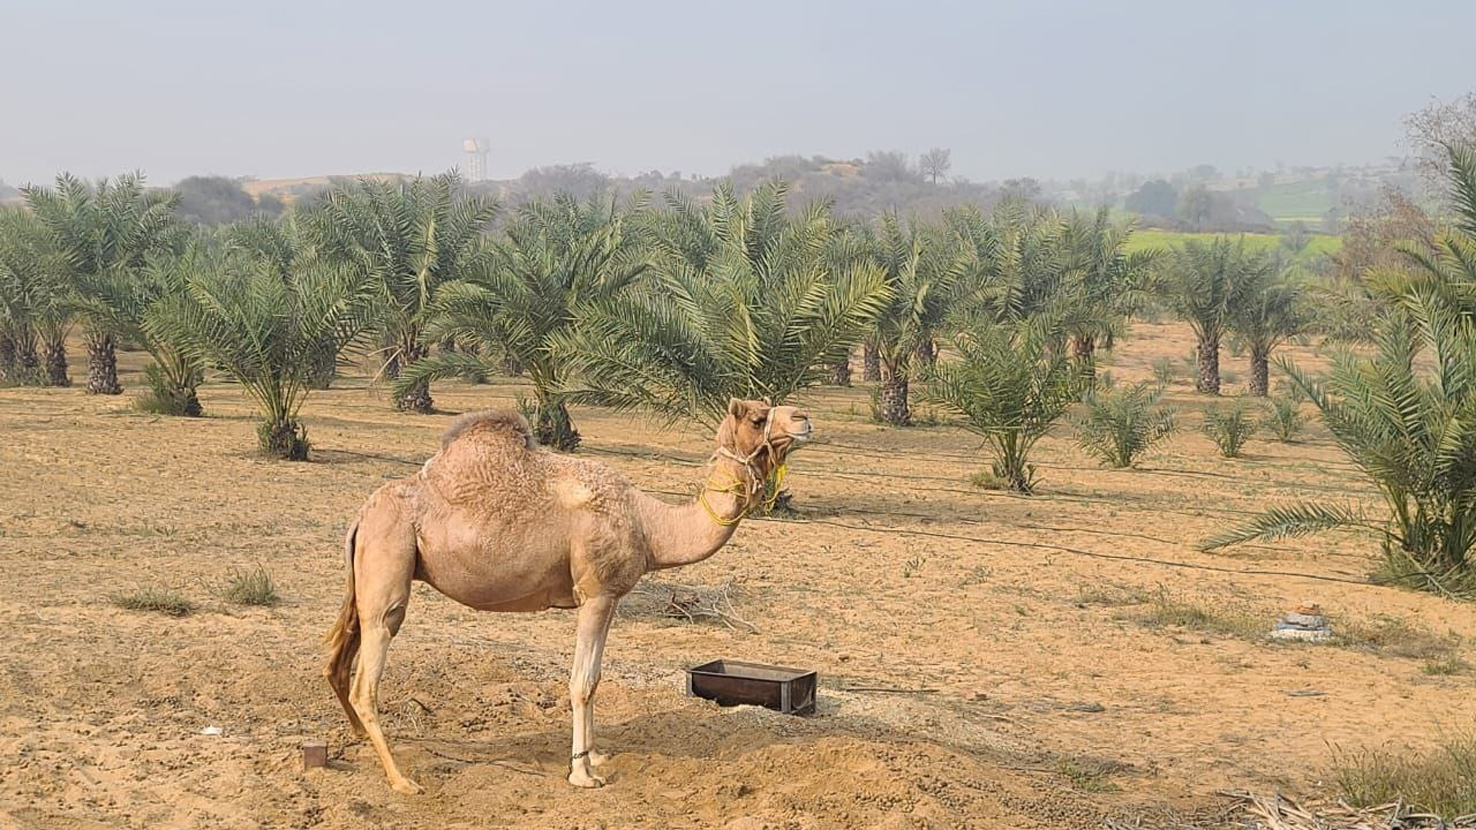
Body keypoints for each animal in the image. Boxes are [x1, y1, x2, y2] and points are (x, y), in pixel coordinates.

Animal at [324, 398, 814, 791]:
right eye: (757, 418)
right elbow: (581, 682)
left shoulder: (610, 596)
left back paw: (360, 741)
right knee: (368, 674)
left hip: (369, 575)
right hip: (389, 564)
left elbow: (594, 678)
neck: (650, 526)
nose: (804, 418)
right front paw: (582, 774)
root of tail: (361, 515)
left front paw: (594, 754)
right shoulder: (594, 593)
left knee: (339, 663)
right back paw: (400, 779)